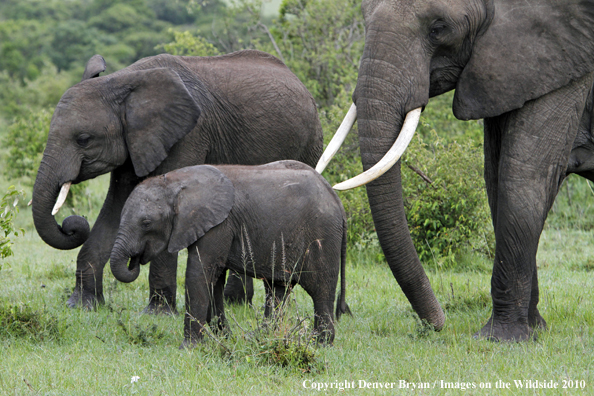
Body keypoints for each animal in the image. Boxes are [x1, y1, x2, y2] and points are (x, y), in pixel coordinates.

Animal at [30, 50, 322, 312]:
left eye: (83, 139)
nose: (72, 225)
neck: (122, 82)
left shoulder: (188, 135)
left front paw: (158, 312)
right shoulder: (134, 143)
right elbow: (115, 207)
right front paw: (82, 305)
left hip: (310, 143)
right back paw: (235, 303)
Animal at [108, 161, 350, 346]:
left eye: (146, 223)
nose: (135, 260)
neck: (176, 181)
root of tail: (337, 200)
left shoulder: (219, 225)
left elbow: (198, 274)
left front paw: (189, 347)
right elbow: (214, 280)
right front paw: (223, 338)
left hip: (323, 235)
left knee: (320, 290)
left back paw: (319, 343)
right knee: (277, 290)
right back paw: (263, 337)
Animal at [316, 0, 592, 340]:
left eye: (438, 29)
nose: (437, 323)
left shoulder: (561, 60)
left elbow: (523, 176)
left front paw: (502, 339)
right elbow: (495, 178)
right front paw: (533, 329)